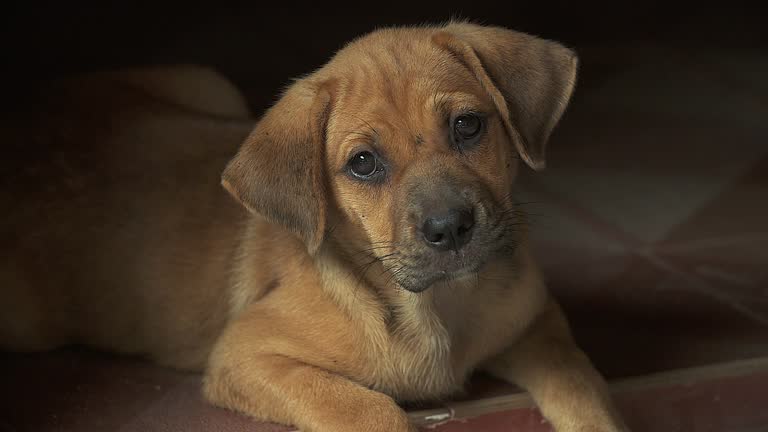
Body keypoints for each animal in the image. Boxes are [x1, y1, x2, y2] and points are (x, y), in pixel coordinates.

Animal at [0, 22, 628, 432]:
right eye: (363, 163)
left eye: (469, 126)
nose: (450, 229)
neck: (435, 308)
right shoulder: (245, 353)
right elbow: (371, 408)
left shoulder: (538, 323)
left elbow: (582, 385)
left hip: (206, 82)